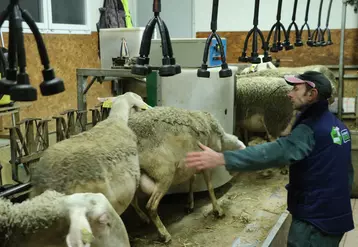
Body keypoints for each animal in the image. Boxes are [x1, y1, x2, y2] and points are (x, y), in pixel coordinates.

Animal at [126, 106, 246, 243]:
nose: (233, 174)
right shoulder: (205, 162)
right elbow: (210, 187)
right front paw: (217, 210)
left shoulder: (192, 165)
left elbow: (192, 180)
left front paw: (190, 204)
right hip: (164, 174)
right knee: (151, 206)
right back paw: (164, 234)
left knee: (133, 201)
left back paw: (144, 219)